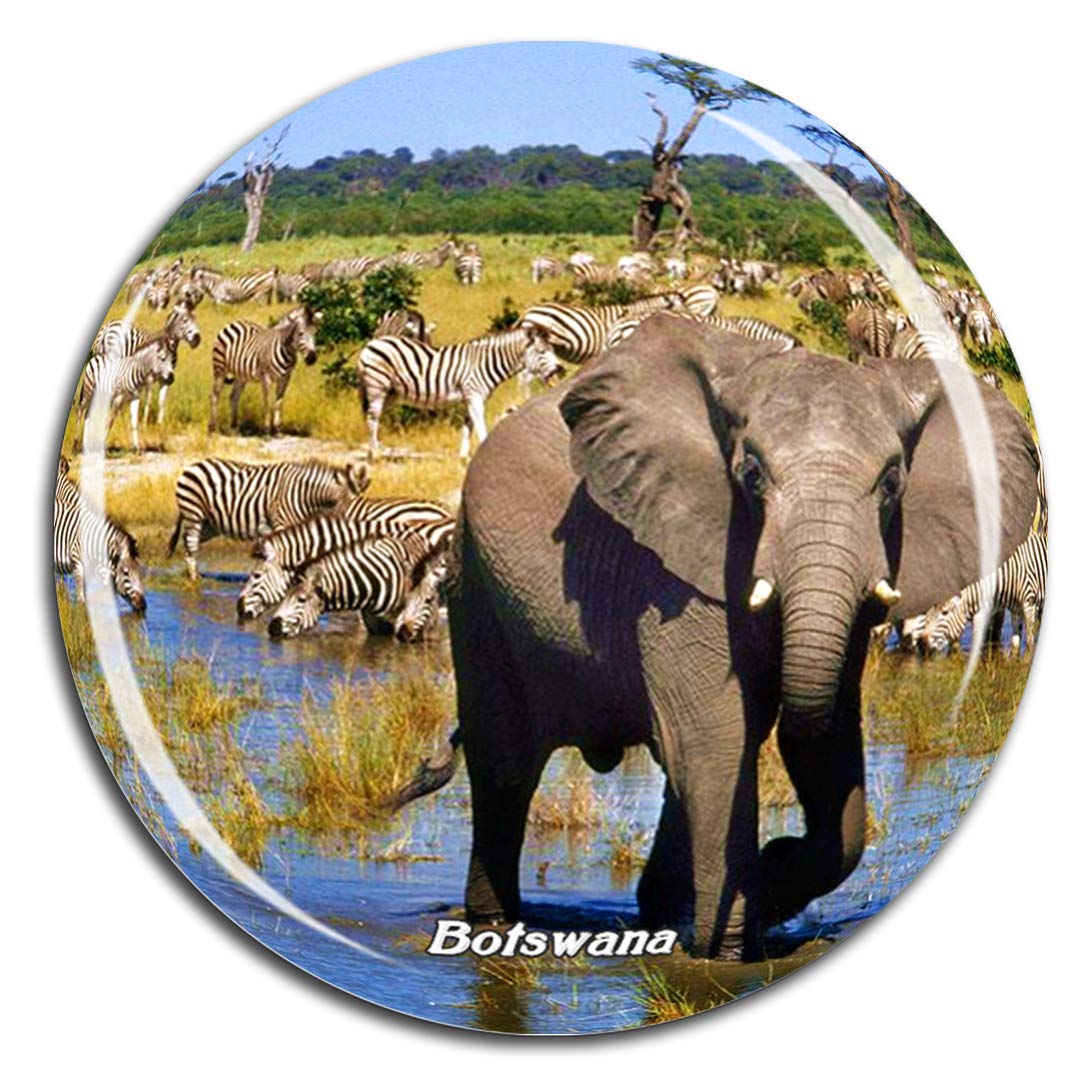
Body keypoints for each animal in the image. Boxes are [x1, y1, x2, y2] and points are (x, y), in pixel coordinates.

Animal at [396, 314, 1039, 960]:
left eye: (891, 483)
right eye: (751, 475)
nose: (774, 858)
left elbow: (824, 748)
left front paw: (769, 884)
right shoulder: (671, 561)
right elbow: (717, 739)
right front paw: (729, 952)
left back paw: (662, 911)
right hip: (477, 587)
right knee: (505, 763)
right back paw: (493, 925)